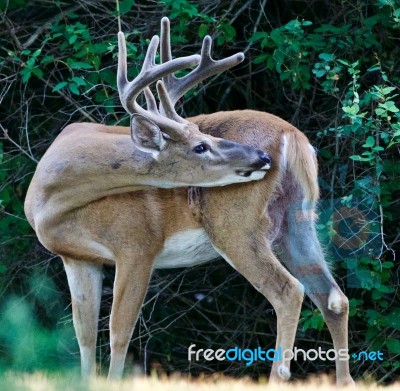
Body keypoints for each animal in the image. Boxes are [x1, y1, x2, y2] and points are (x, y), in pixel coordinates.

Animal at [23, 16, 354, 388]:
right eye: (200, 145)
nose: (261, 158)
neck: (52, 202)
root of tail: (293, 137)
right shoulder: (76, 258)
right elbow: (84, 335)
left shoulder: (137, 244)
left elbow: (118, 332)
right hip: (297, 219)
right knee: (333, 297)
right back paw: (344, 381)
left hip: (235, 226)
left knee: (289, 291)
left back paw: (278, 376)